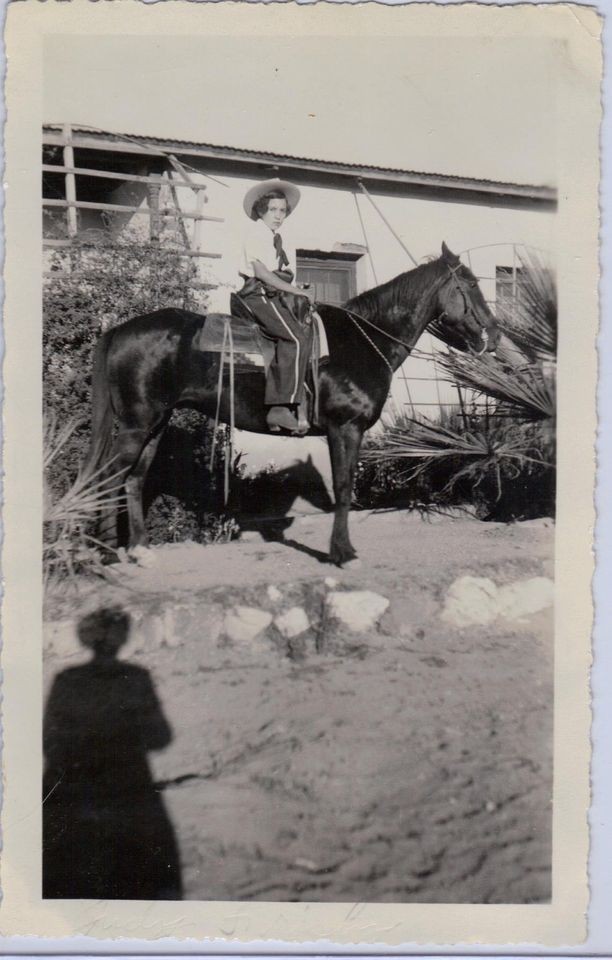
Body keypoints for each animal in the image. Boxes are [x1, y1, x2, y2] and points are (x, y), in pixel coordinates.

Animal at [81, 244, 500, 568]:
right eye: (471, 285)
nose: (494, 335)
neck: (363, 340)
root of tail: (119, 330)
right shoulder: (344, 427)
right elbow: (343, 488)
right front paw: (342, 553)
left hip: (155, 423)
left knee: (134, 478)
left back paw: (138, 550)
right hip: (137, 424)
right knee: (108, 477)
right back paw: (107, 554)